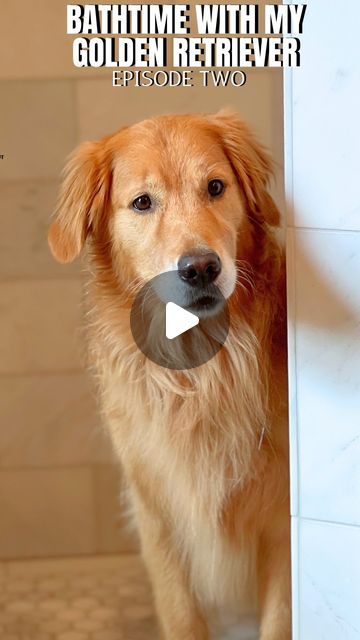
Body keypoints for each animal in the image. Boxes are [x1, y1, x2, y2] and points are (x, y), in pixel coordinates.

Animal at [47, 111, 290, 640]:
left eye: (215, 187)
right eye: (142, 202)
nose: (200, 268)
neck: (202, 373)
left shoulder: (282, 516)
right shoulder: (157, 512)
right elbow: (180, 615)